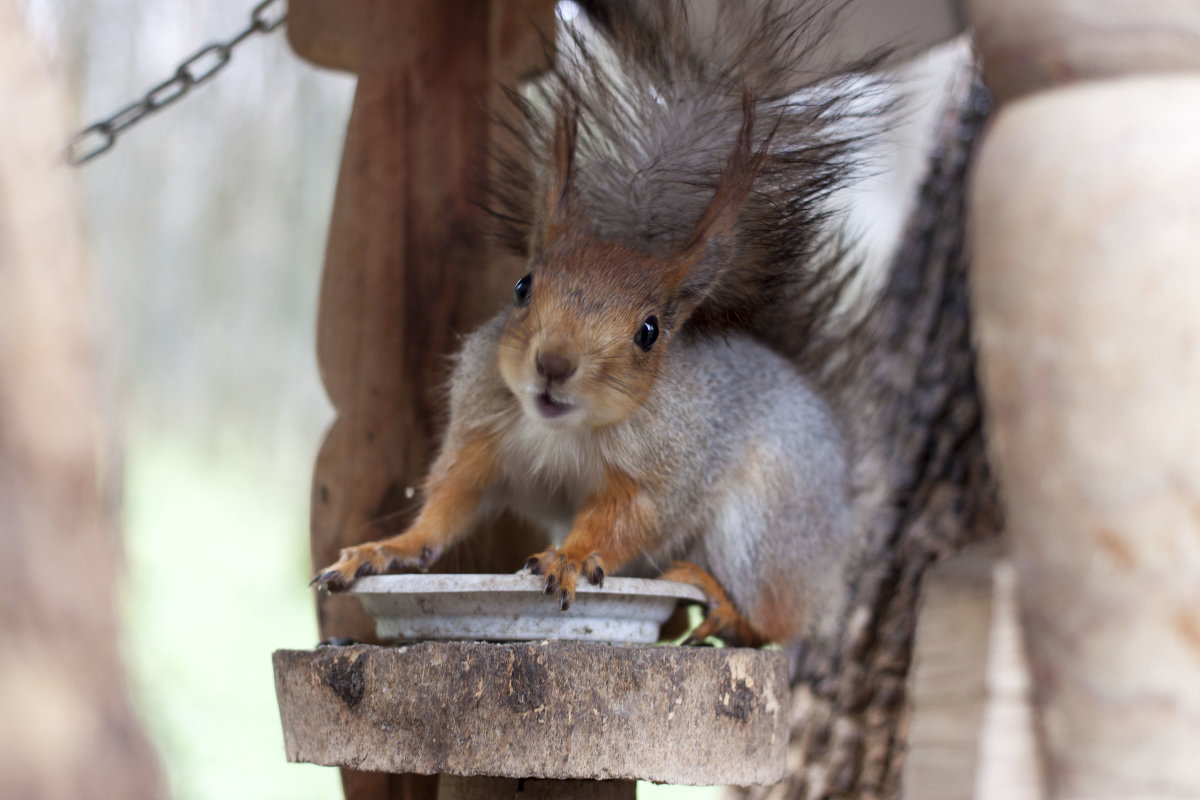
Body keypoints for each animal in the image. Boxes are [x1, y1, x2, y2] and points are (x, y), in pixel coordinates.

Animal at [314, 0, 931, 647]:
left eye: (650, 331)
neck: (561, 430)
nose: (554, 365)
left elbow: (625, 521)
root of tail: (843, 515)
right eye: (522, 287)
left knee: (775, 623)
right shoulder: (481, 433)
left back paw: (720, 602)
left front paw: (569, 557)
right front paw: (383, 549)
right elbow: (447, 504)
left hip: (765, 528)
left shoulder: (666, 473)